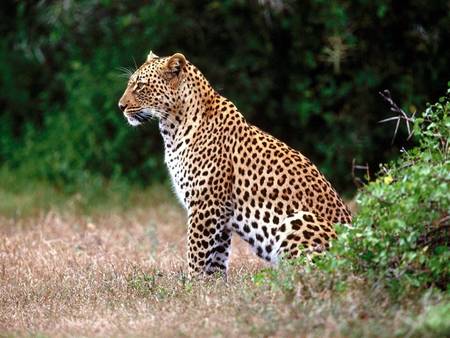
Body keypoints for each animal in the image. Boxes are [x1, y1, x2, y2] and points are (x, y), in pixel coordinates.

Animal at [118, 50, 352, 278]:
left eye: (141, 86)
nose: (120, 106)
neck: (172, 128)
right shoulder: (220, 214)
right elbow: (216, 260)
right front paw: (211, 288)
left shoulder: (205, 205)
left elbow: (196, 254)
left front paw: (190, 286)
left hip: (299, 220)